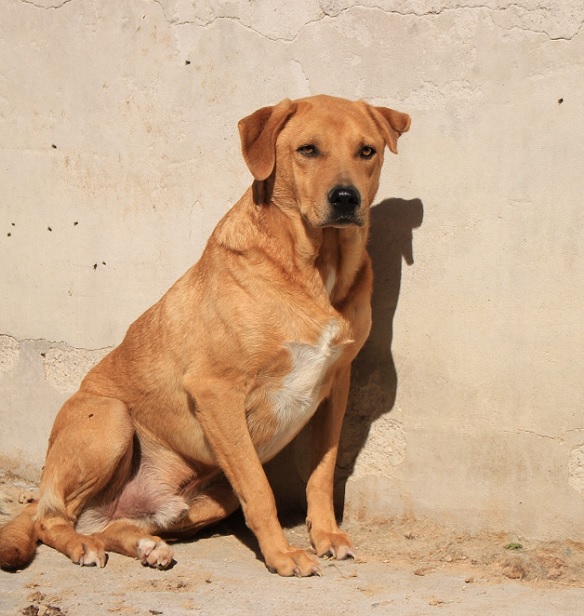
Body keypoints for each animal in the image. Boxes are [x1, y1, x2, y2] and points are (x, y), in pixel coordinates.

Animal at [1, 94, 410, 576]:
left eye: (367, 151)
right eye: (308, 150)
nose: (346, 198)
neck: (313, 268)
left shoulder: (336, 387)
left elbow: (322, 474)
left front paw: (326, 534)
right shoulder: (216, 390)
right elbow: (261, 490)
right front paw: (283, 555)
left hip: (209, 497)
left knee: (110, 525)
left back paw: (147, 546)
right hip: (111, 419)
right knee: (51, 519)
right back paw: (82, 546)